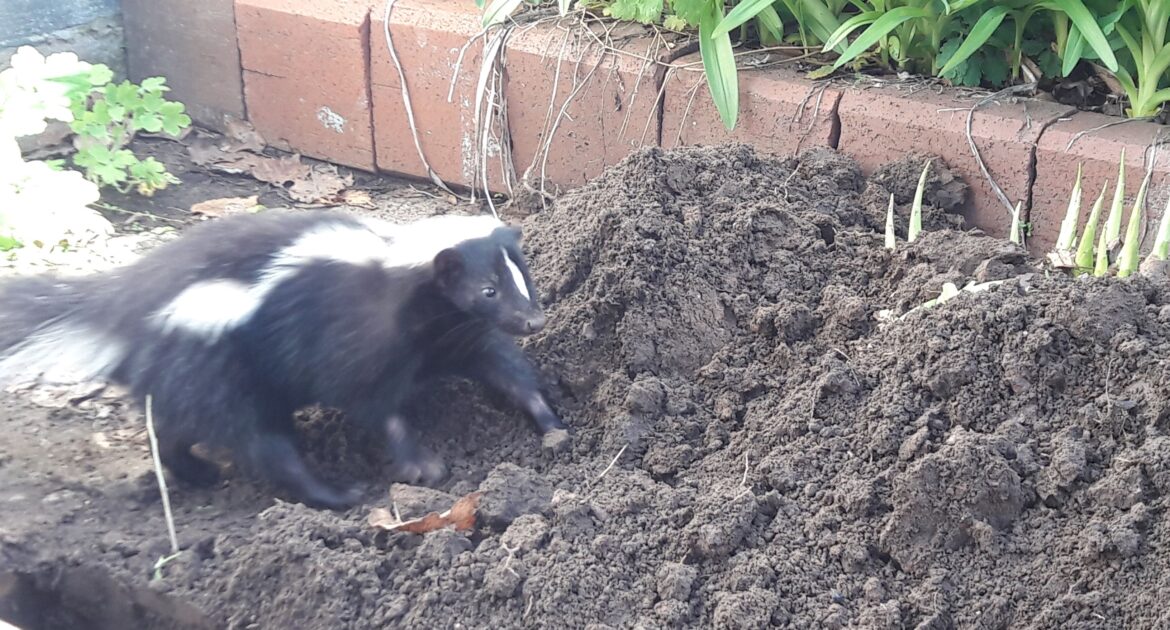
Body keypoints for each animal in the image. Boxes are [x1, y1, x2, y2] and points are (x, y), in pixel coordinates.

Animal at [0, 208, 566, 508]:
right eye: (488, 290)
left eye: (525, 279)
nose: (534, 321)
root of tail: (125, 310)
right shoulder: (354, 337)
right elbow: (375, 404)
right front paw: (421, 464)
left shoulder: (453, 333)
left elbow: (502, 367)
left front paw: (550, 421)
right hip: (218, 364)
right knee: (263, 442)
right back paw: (336, 492)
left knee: (175, 428)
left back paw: (194, 472)